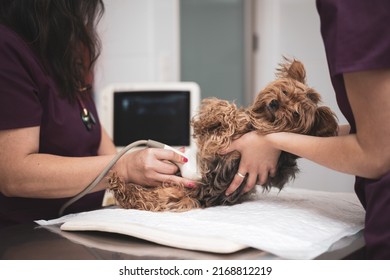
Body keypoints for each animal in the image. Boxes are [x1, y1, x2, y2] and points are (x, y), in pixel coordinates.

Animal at [107, 58, 338, 211]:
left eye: (296, 113)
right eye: (285, 92)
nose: (275, 103)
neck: (260, 120)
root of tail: (201, 192)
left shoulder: (218, 145)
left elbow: (228, 117)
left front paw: (219, 115)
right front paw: (212, 115)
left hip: (179, 191)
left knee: (142, 200)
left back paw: (117, 184)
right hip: (174, 188)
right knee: (145, 198)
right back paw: (117, 182)